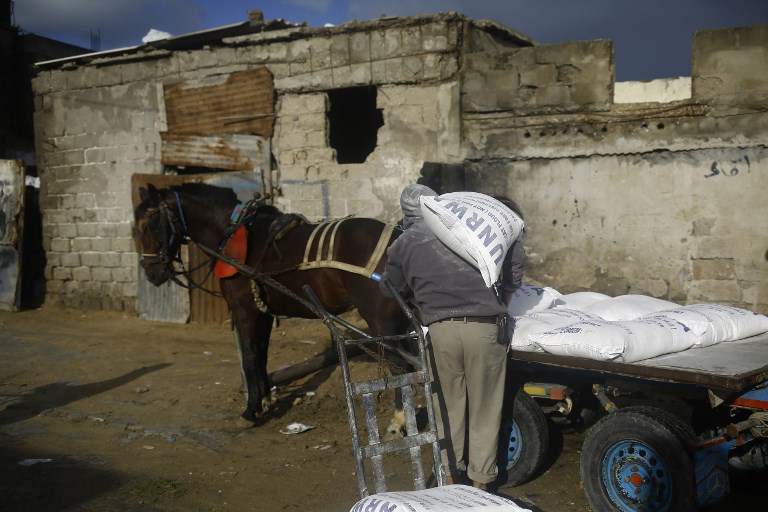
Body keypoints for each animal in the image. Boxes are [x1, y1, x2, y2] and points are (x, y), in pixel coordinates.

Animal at [134, 182, 408, 422]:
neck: (229, 234)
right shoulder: (263, 312)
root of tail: (397, 236)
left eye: (150, 224)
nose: (151, 272)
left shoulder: (244, 310)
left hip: (380, 320)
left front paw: (251, 409)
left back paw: (400, 419)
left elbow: (249, 356)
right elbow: (261, 355)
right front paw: (265, 400)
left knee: (400, 367)